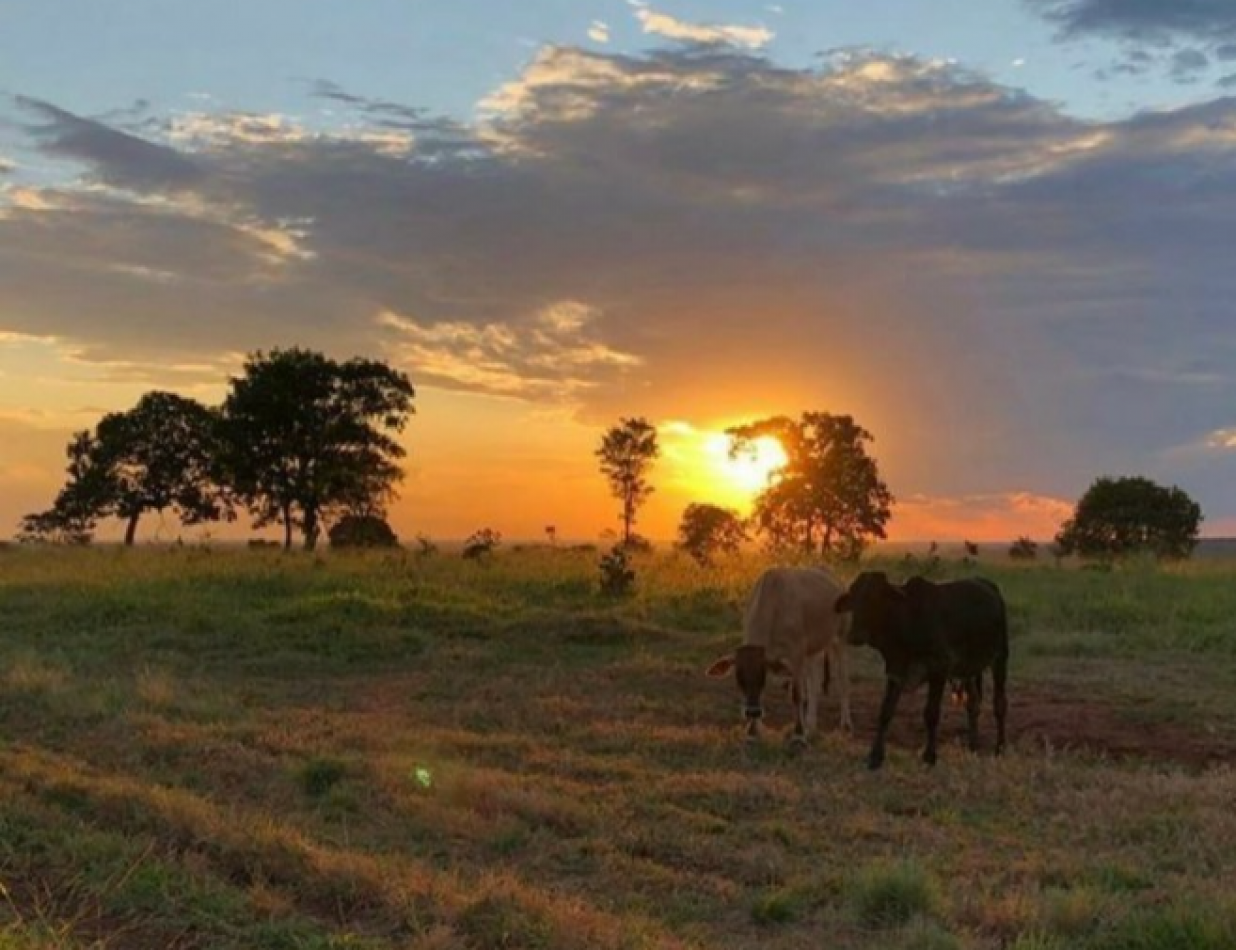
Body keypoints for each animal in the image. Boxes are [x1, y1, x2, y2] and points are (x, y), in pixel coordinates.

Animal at [706, 568, 850, 746]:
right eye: (739, 677)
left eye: (761, 675)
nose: (752, 712)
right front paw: (752, 733)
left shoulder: (796, 653)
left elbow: (797, 694)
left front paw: (798, 735)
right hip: (813, 650)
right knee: (813, 683)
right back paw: (811, 724)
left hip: (840, 638)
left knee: (843, 679)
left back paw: (845, 723)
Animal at [835, 570, 1008, 770]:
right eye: (854, 598)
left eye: (876, 599)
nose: (856, 635)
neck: (906, 619)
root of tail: (988, 585)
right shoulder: (895, 672)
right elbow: (885, 712)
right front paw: (875, 756)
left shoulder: (939, 668)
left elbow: (931, 714)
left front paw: (929, 756)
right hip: (969, 669)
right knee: (973, 703)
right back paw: (973, 746)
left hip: (1000, 657)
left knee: (999, 705)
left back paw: (1000, 748)